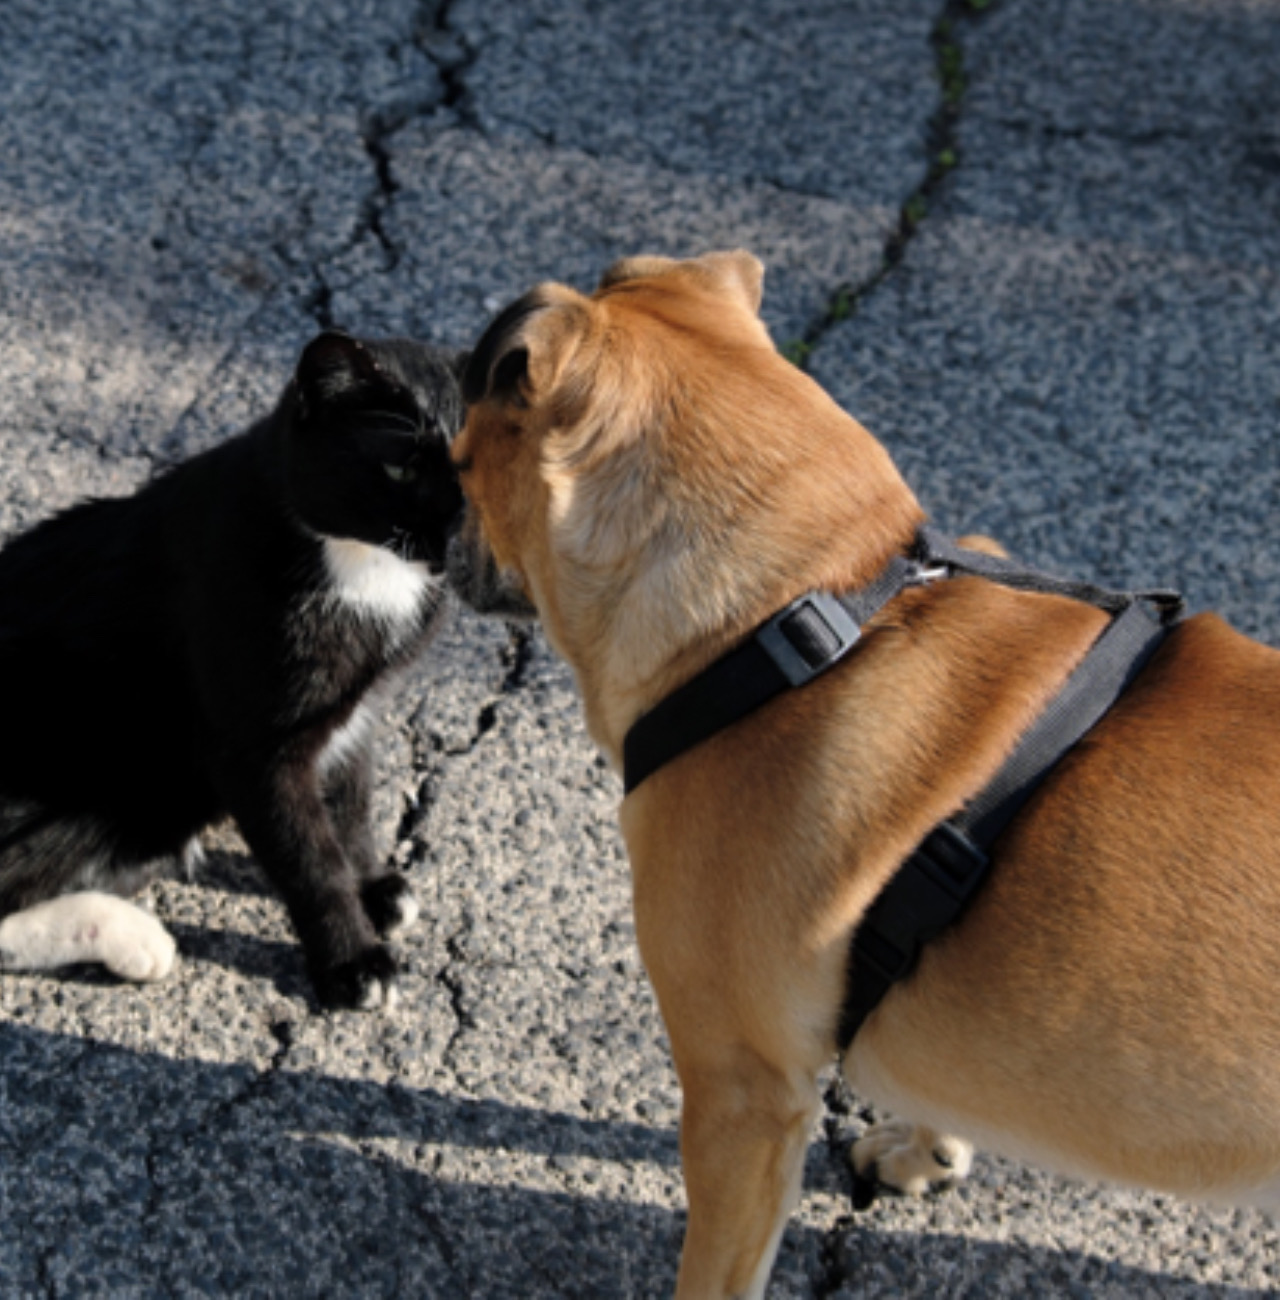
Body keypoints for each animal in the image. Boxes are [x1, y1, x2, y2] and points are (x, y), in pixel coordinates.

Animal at [0, 330, 465, 1008]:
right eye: (400, 467)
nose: (459, 526)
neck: (361, 569)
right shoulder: (251, 749)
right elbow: (308, 857)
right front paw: (353, 961)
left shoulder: (356, 712)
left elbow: (350, 805)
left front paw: (374, 885)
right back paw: (134, 937)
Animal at [444, 248, 1278, 1294]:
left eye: (461, 461)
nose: (437, 540)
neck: (822, 602)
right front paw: (930, 1144)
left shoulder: (743, 1095)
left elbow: (716, 1270)